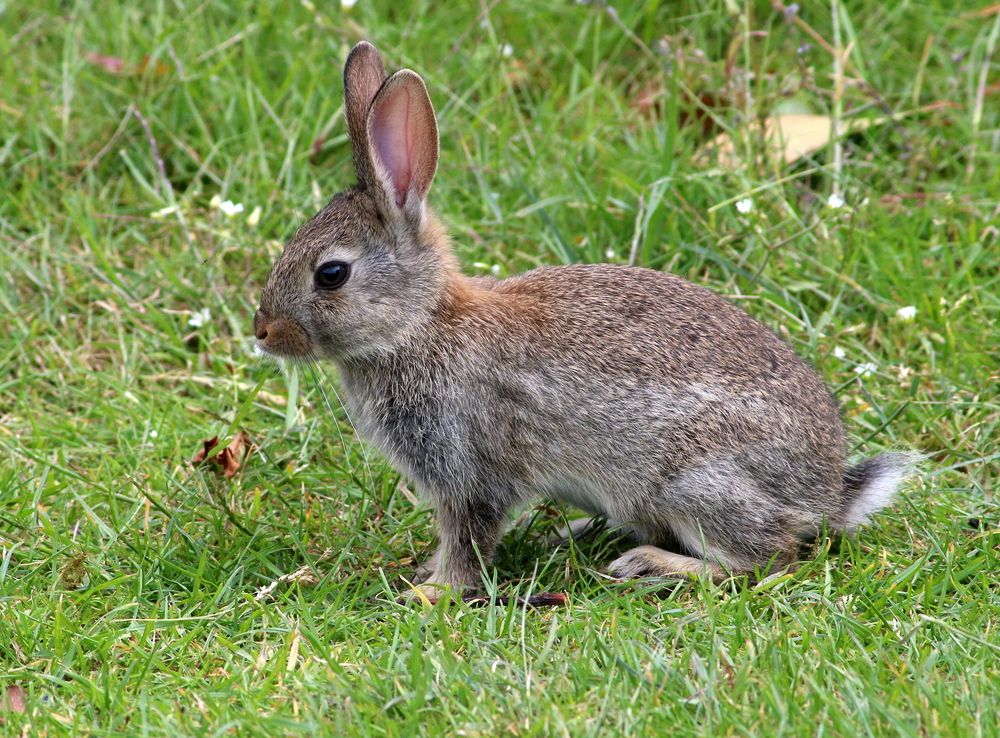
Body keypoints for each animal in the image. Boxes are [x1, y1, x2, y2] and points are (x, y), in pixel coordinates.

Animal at [254, 41, 916, 600]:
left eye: (331, 274)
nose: (263, 331)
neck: (419, 326)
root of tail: (828, 493)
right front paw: (424, 574)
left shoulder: (471, 468)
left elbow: (469, 538)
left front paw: (431, 594)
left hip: (696, 482)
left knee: (767, 557)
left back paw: (650, 563)